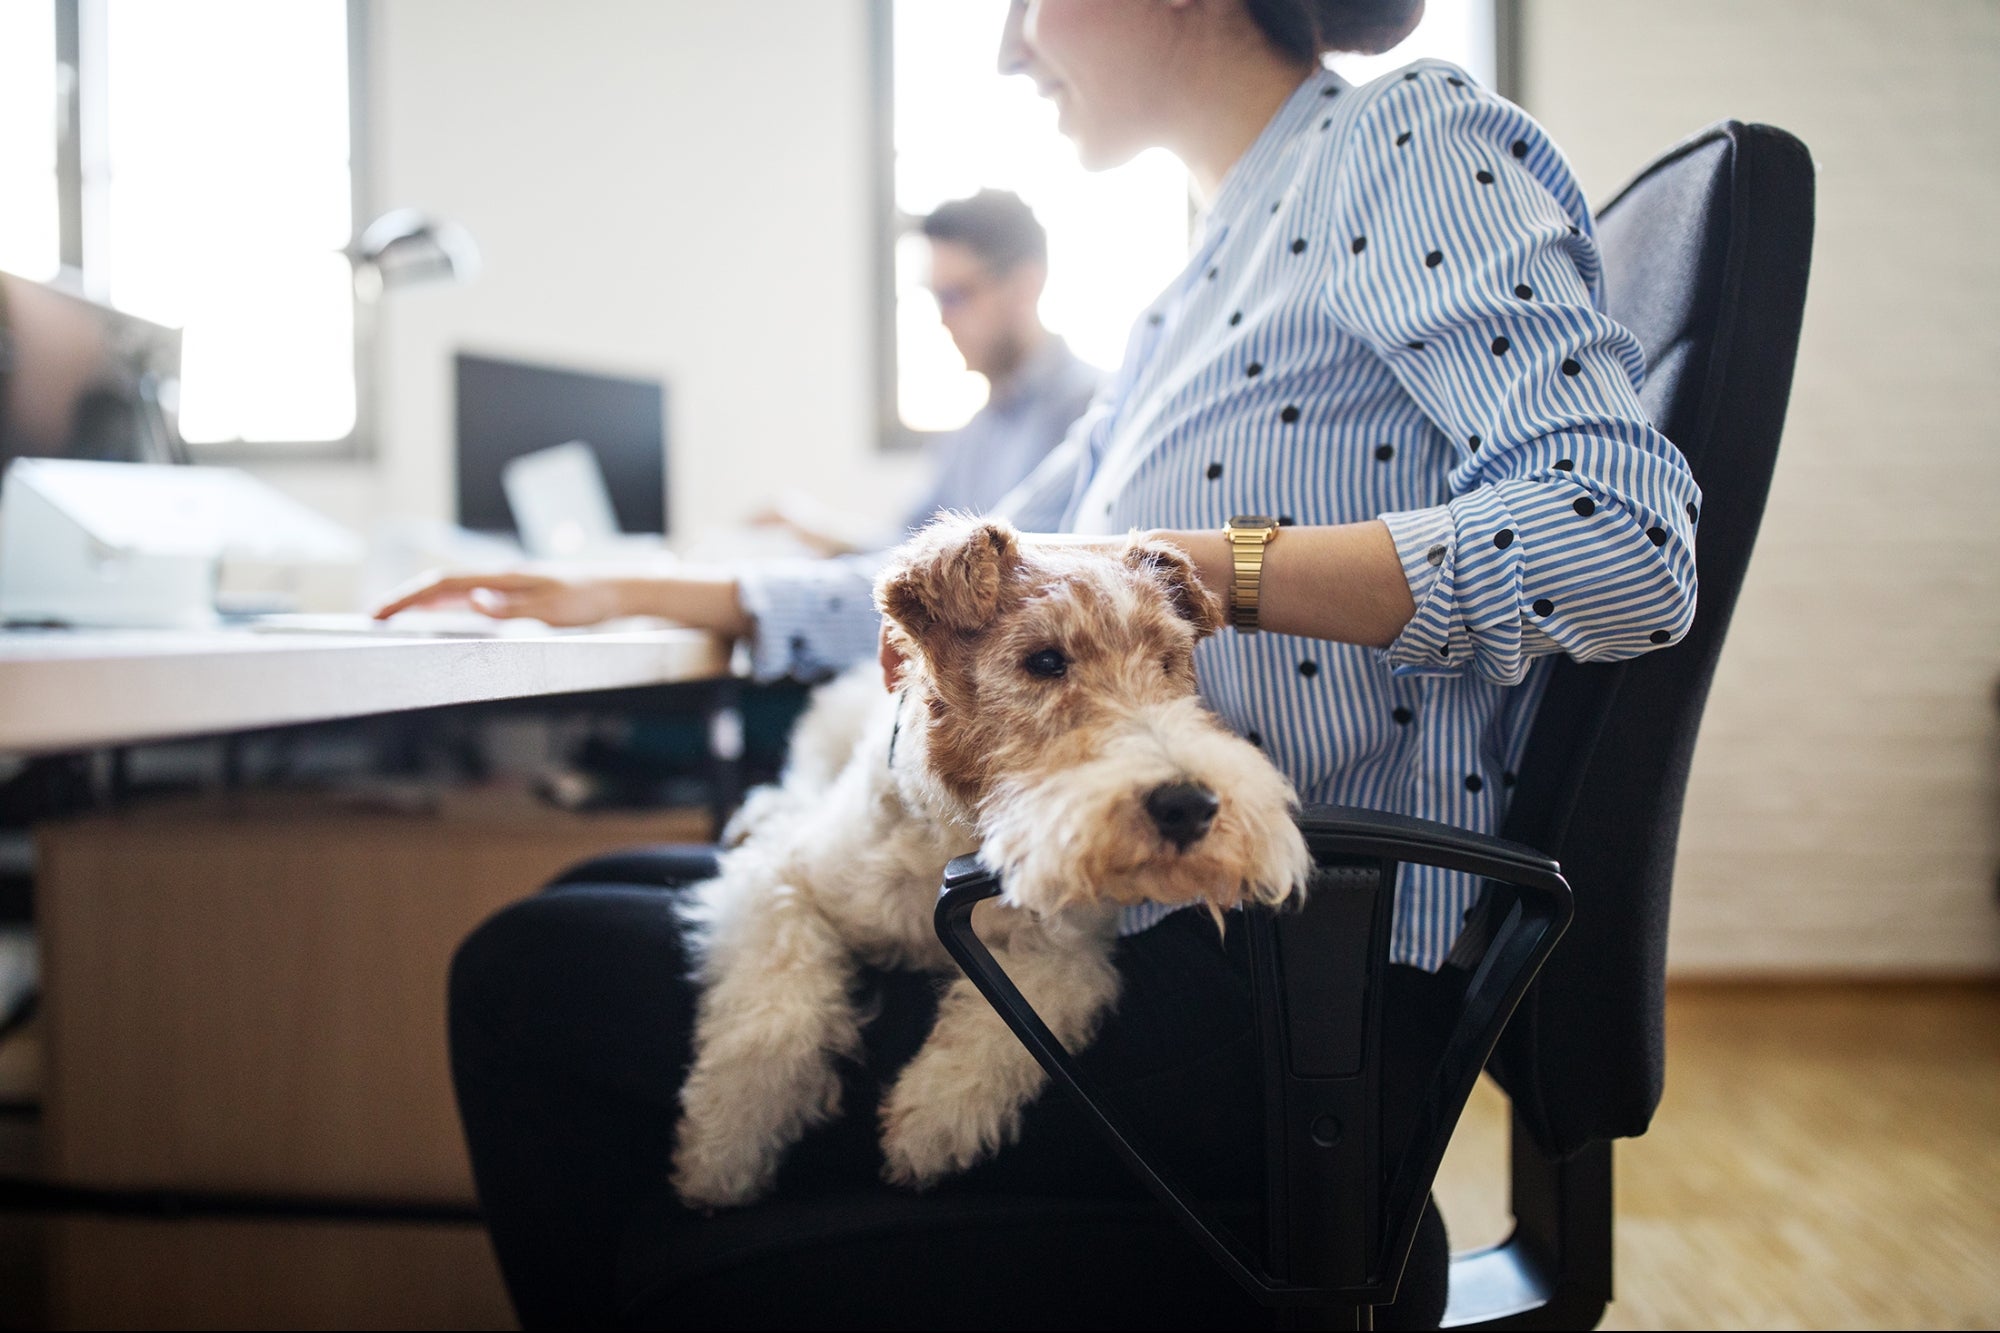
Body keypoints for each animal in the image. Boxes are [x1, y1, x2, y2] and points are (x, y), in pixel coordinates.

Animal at [672, 510, 1312, 1200]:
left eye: (1168, 661)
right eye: (1045, 660)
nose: (1190, 805)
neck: (961, 838)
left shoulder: (1067, 954)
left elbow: (1006, 1024)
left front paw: (932, 1121)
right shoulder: (780, 883)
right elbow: (772, 1021)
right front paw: (722, 1152)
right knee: (791, 791)